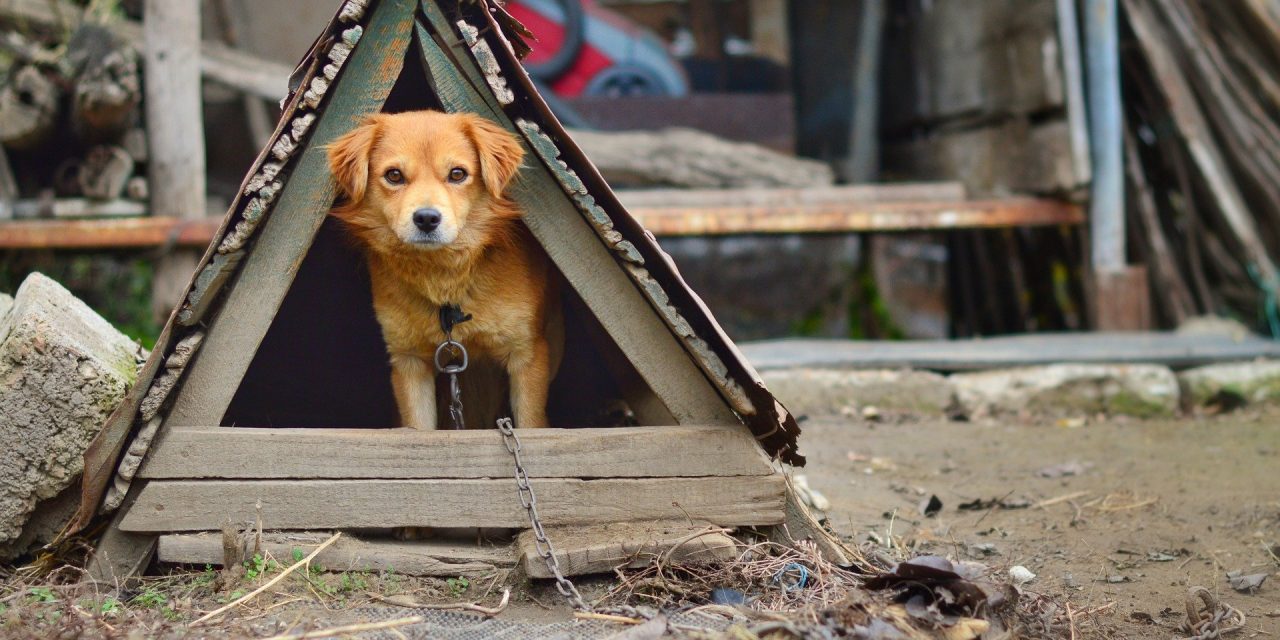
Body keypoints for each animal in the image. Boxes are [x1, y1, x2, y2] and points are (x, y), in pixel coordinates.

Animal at [325, 110, 560, 430]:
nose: (426, 218)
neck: (443, 275)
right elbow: (420, 430)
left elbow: (531, 425)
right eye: (394, 175)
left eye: (457, 174)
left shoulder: (527, 355)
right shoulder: (409, 361)